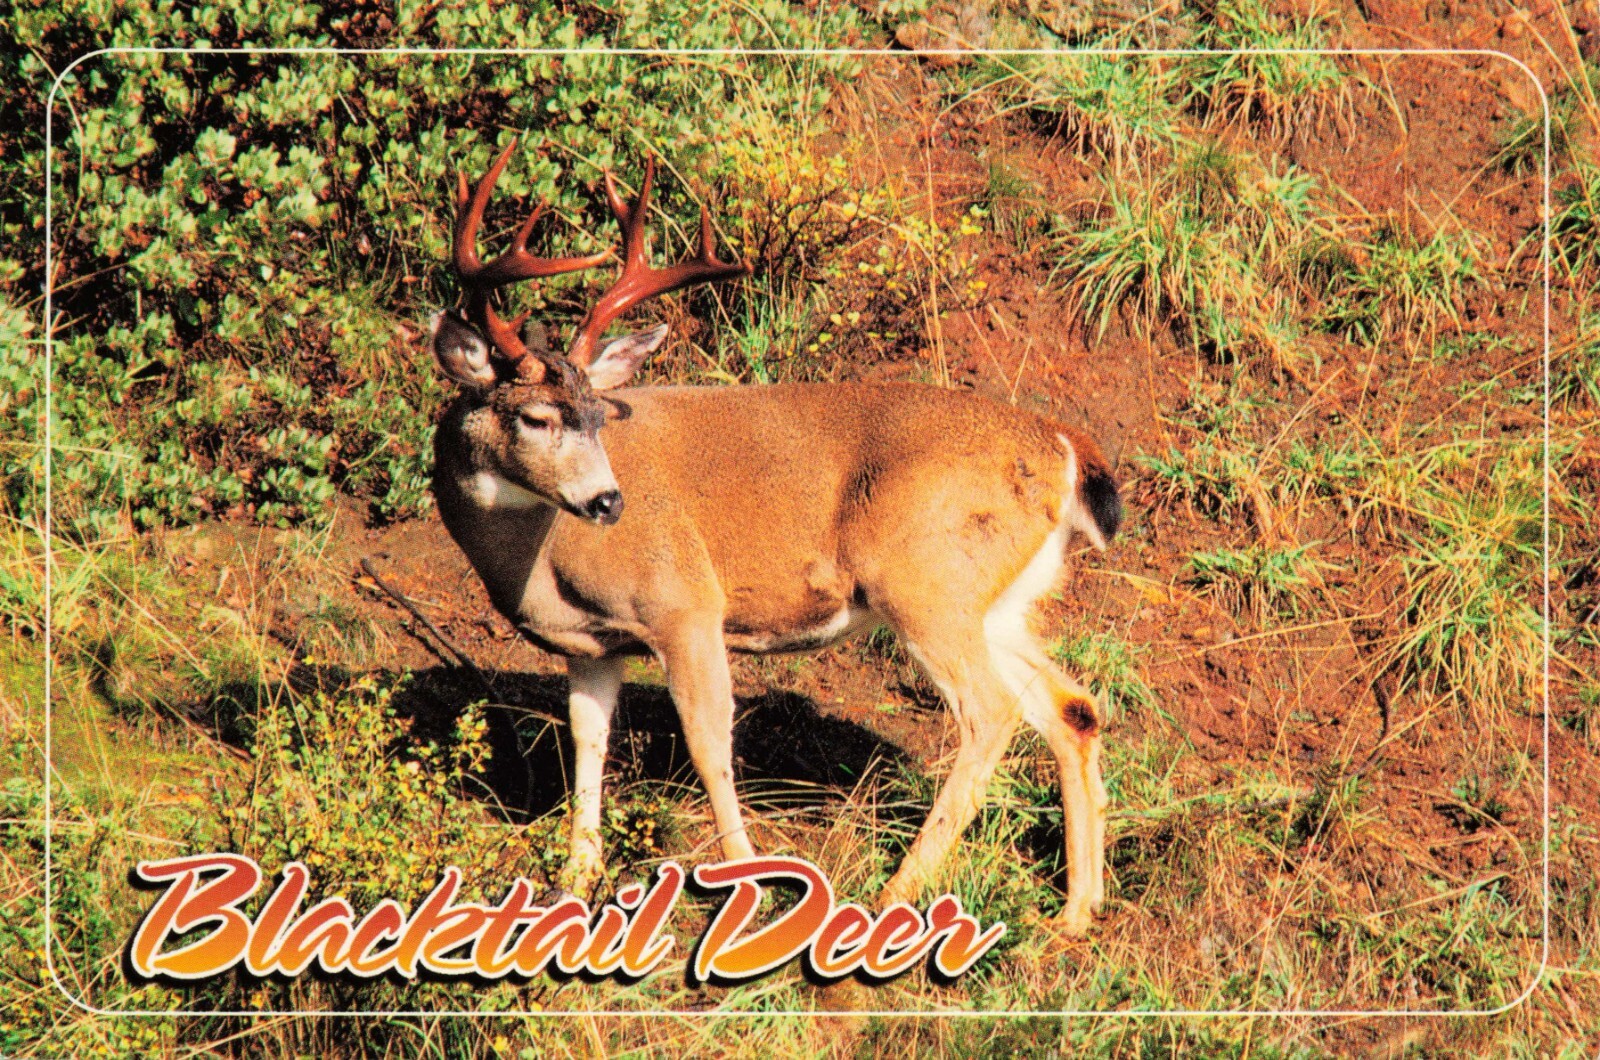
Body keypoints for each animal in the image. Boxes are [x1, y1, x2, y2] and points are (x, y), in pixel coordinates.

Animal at [426, 140, 1124, 935]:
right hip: (996, 601)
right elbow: (588, 741)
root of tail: (1063, 446)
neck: (539, 559)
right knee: (1073, 707)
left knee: (991, 713)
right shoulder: (595, 646)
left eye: (598, 415)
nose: (607, 501)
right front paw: (576, 878)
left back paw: (897, 892)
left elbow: (707, 740)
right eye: (537, 416)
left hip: (925, 584)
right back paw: (1075, 913)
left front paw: (742, 877)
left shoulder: (684, 604)